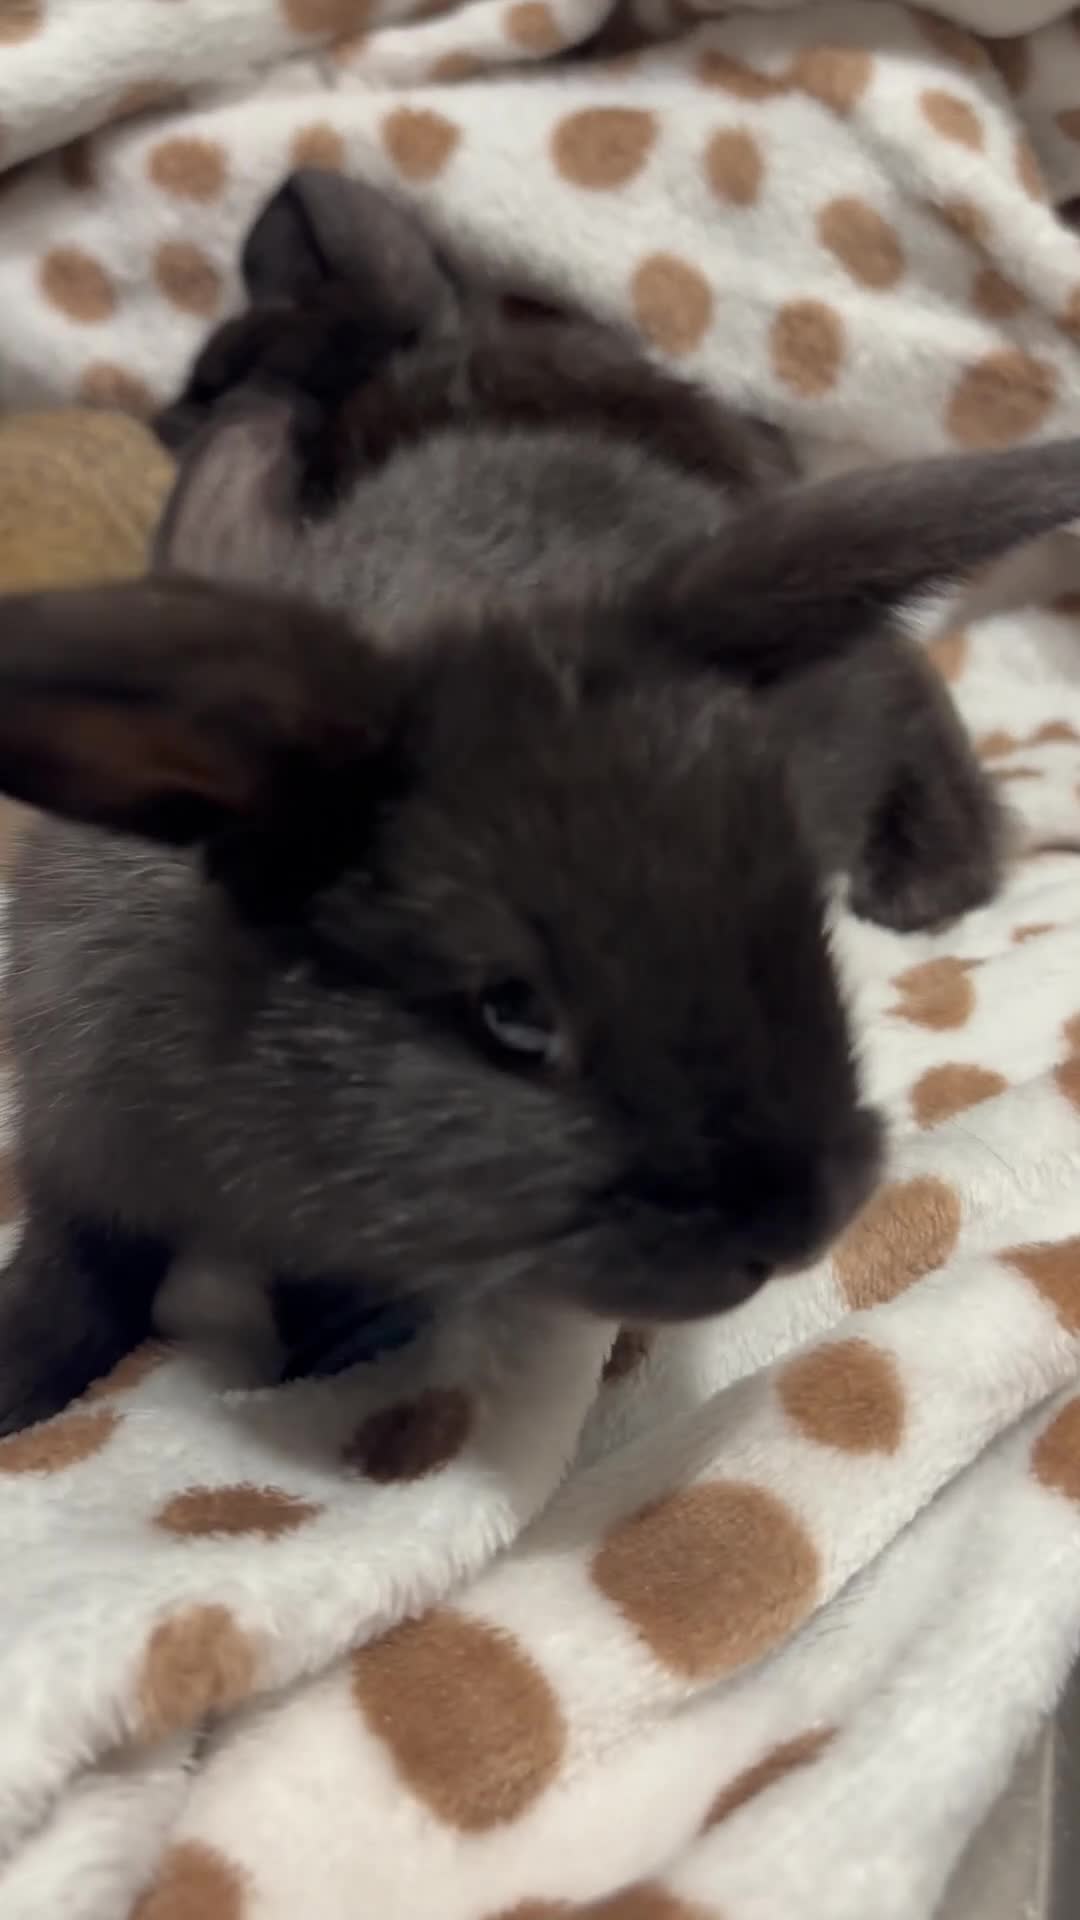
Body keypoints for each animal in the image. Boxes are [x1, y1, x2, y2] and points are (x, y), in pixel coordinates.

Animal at [0, 167, 1078, 1435]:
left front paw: (333, 1351)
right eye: (513, 1015)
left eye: (801, 927)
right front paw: (22, 1380)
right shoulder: (79, 1138)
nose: (807, 1223)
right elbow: (80, 1273)